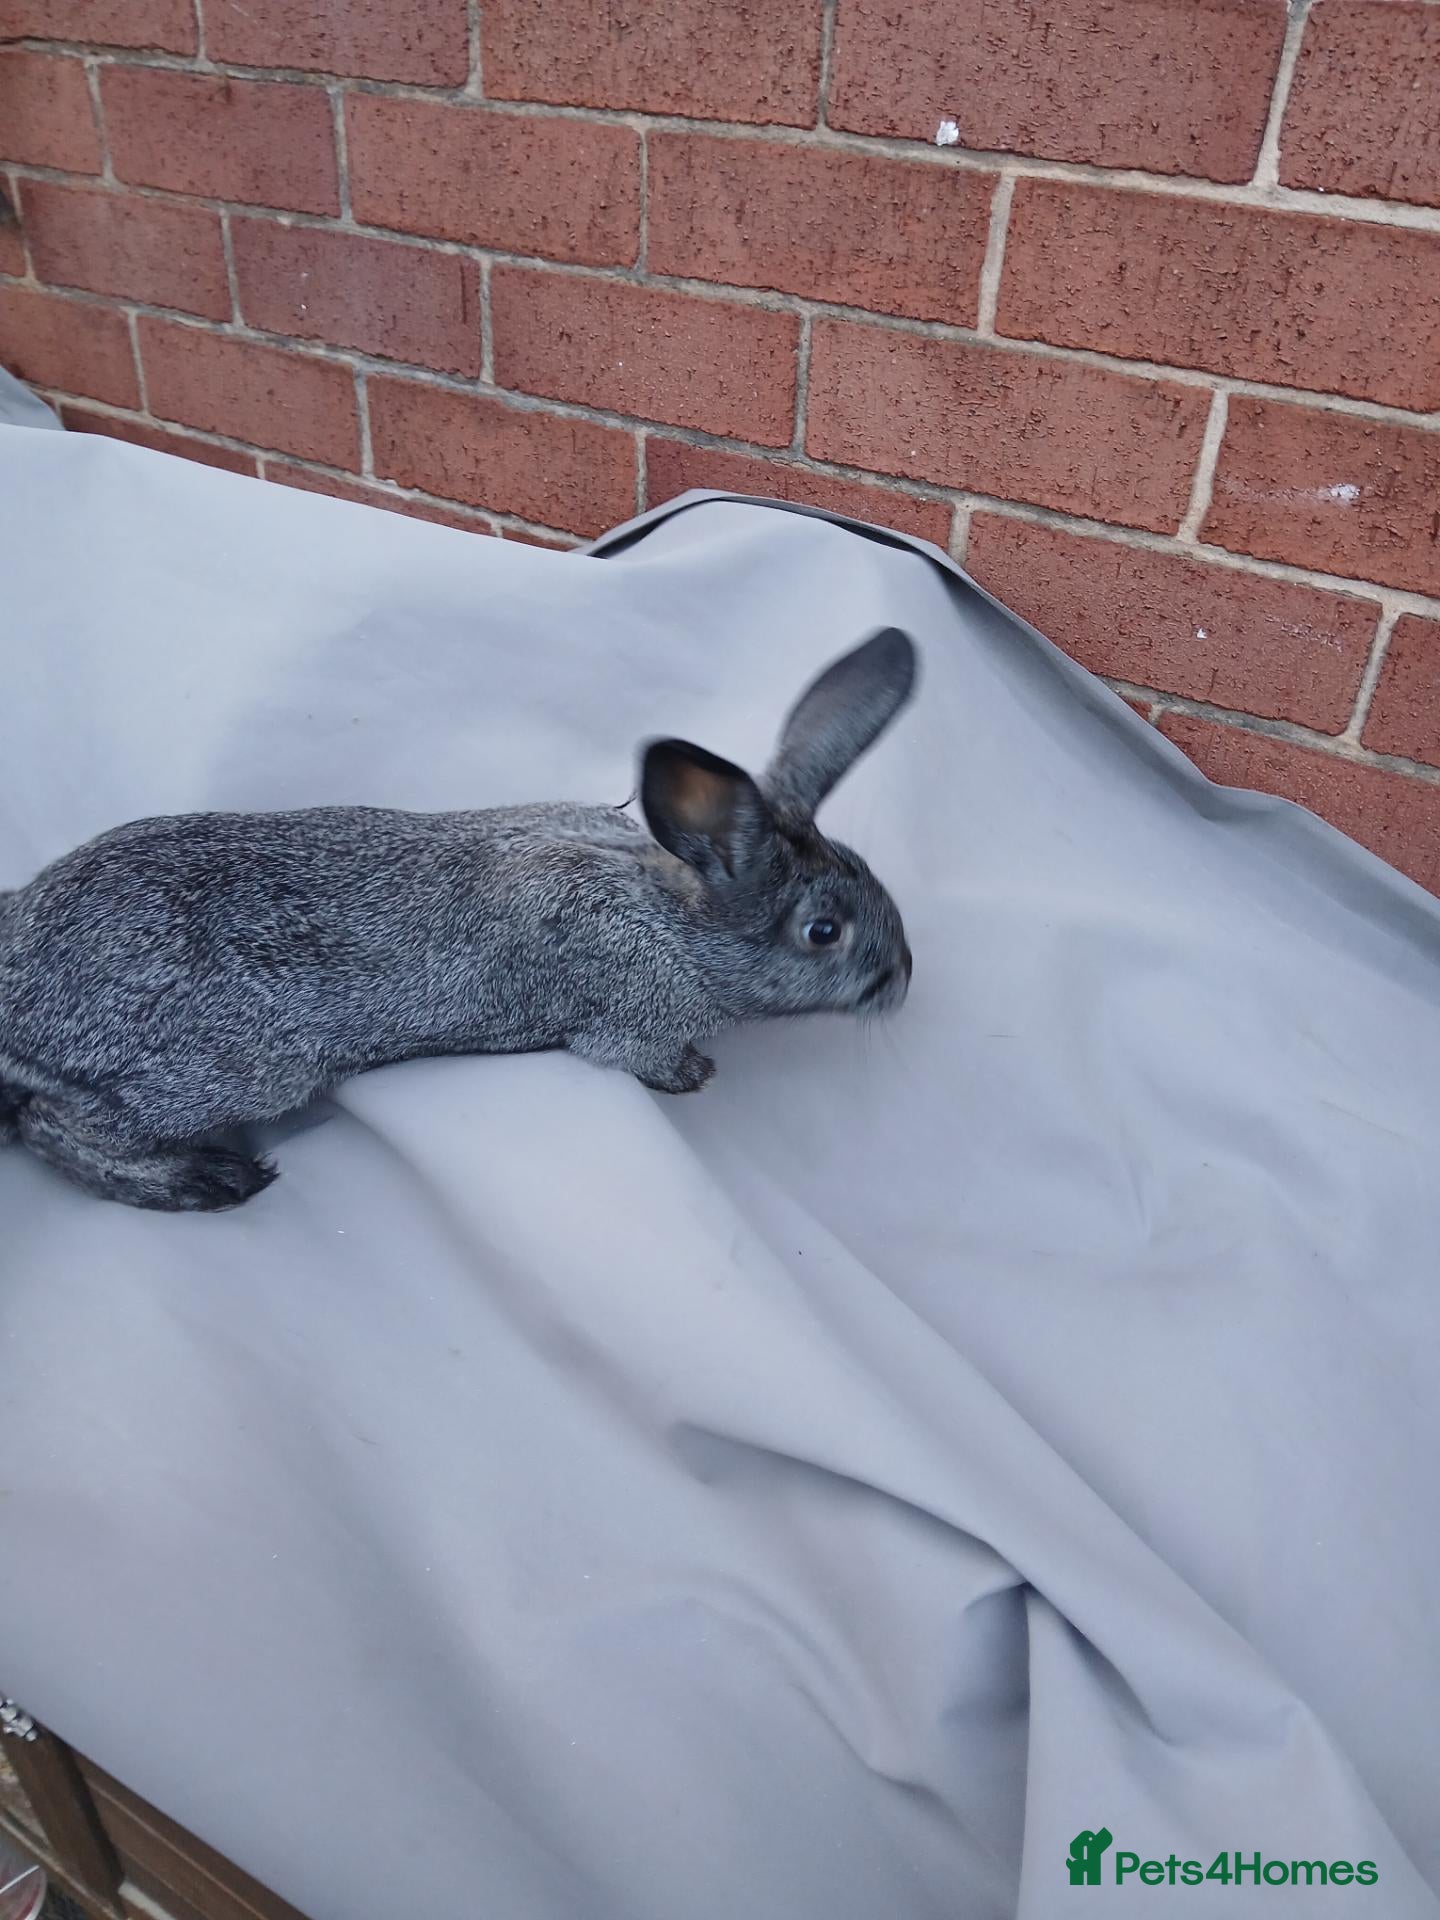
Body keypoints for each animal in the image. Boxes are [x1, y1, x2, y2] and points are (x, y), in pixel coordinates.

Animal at [0, 627, 916, 1213]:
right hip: (235, 1070)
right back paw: (208, 1182)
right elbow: (642, 1058)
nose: (904, 980)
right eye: (824, 932)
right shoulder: (629, 1019)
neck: (676, 910)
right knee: (54, 1125)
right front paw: (696, 1075)